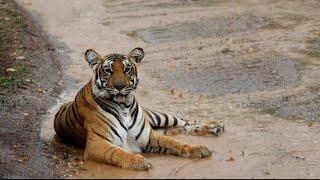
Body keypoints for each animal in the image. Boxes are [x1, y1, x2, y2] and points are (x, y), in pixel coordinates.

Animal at [53, 47, 225, 171]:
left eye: (127, 69)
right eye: (108, 70)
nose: (120, 86)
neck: (124, 106)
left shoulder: (148, 136)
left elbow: (175, 143)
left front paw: (198, 148)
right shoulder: (97, 143)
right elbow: (117, 152)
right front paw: (138, 161)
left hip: (159, 117)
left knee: (184, 122)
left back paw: (215, 126)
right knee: (177, 129)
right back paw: (214, 128)